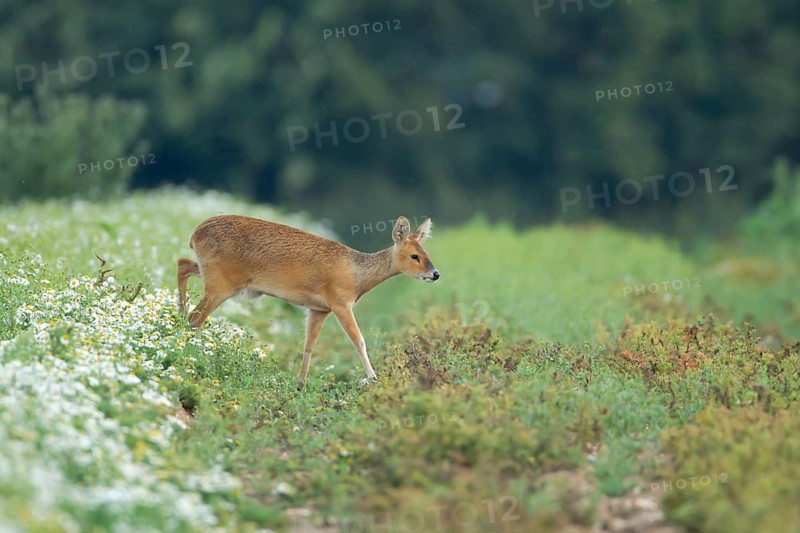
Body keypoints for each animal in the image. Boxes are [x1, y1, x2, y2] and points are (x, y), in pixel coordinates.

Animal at [177, 215, 439, 389]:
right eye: (414, 256)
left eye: (426, 253)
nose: (435, 274)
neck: (357, 276)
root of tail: (195, 233)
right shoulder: (340, 303)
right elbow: (359, 342)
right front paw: (374, 380)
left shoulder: (318, 308)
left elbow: (308, 346)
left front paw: (300, 385)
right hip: (222, 284)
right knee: (195, 317)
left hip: (213, 274)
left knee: (183, 265)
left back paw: (177, 319)